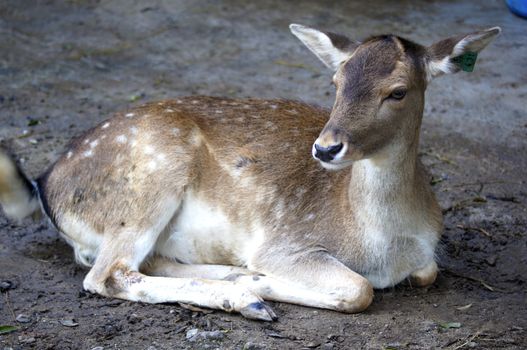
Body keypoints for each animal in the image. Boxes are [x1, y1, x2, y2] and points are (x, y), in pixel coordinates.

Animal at [0, 23, 502, 320]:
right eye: (336, 81)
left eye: (398, 91)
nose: (325, 147)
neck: (383, 244)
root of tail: (44, 183)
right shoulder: (285, 243)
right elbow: (360, 289)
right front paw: (260, 280)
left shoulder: (425, 256)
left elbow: (427, 271)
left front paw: (250, 278)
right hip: (150, 180)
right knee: (107, 273)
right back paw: (247, 294)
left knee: (131, 261)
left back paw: (233, 277)